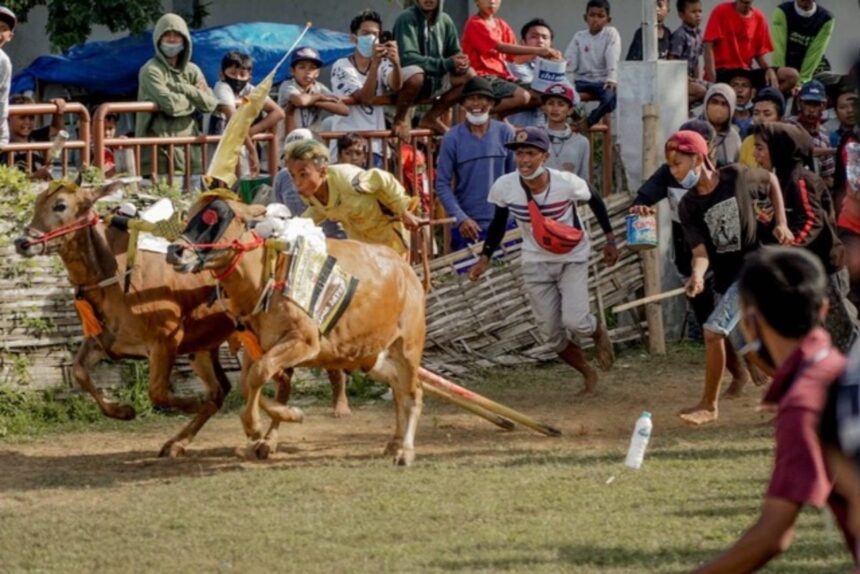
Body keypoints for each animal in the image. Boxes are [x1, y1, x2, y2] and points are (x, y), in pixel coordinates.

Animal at [12, 182, 316, 456]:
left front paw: (191, 404)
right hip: (204, 348)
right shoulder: (102, 340)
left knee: (276, 380)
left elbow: (157, 392)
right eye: (37, 202)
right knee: (225, 388)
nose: (22, 242)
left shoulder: (165, 341)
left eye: (60, 205)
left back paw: (270, 436)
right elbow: (79, 372)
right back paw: (179, 442)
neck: (115, 274)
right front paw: (122, 410)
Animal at [165, 198, 426, 468]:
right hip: (369, 355)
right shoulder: (256, 347)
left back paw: (405, 451)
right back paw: (394, 442)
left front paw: (255, 426)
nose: (174, 250)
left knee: (413, 393)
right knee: (397, 386)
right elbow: (248, 383)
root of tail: (406, 270)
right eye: (189, 216)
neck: (265, 280)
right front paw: (287, 417)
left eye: (215, 218)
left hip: (407, 346)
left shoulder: (304, 341)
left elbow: (259, 375)